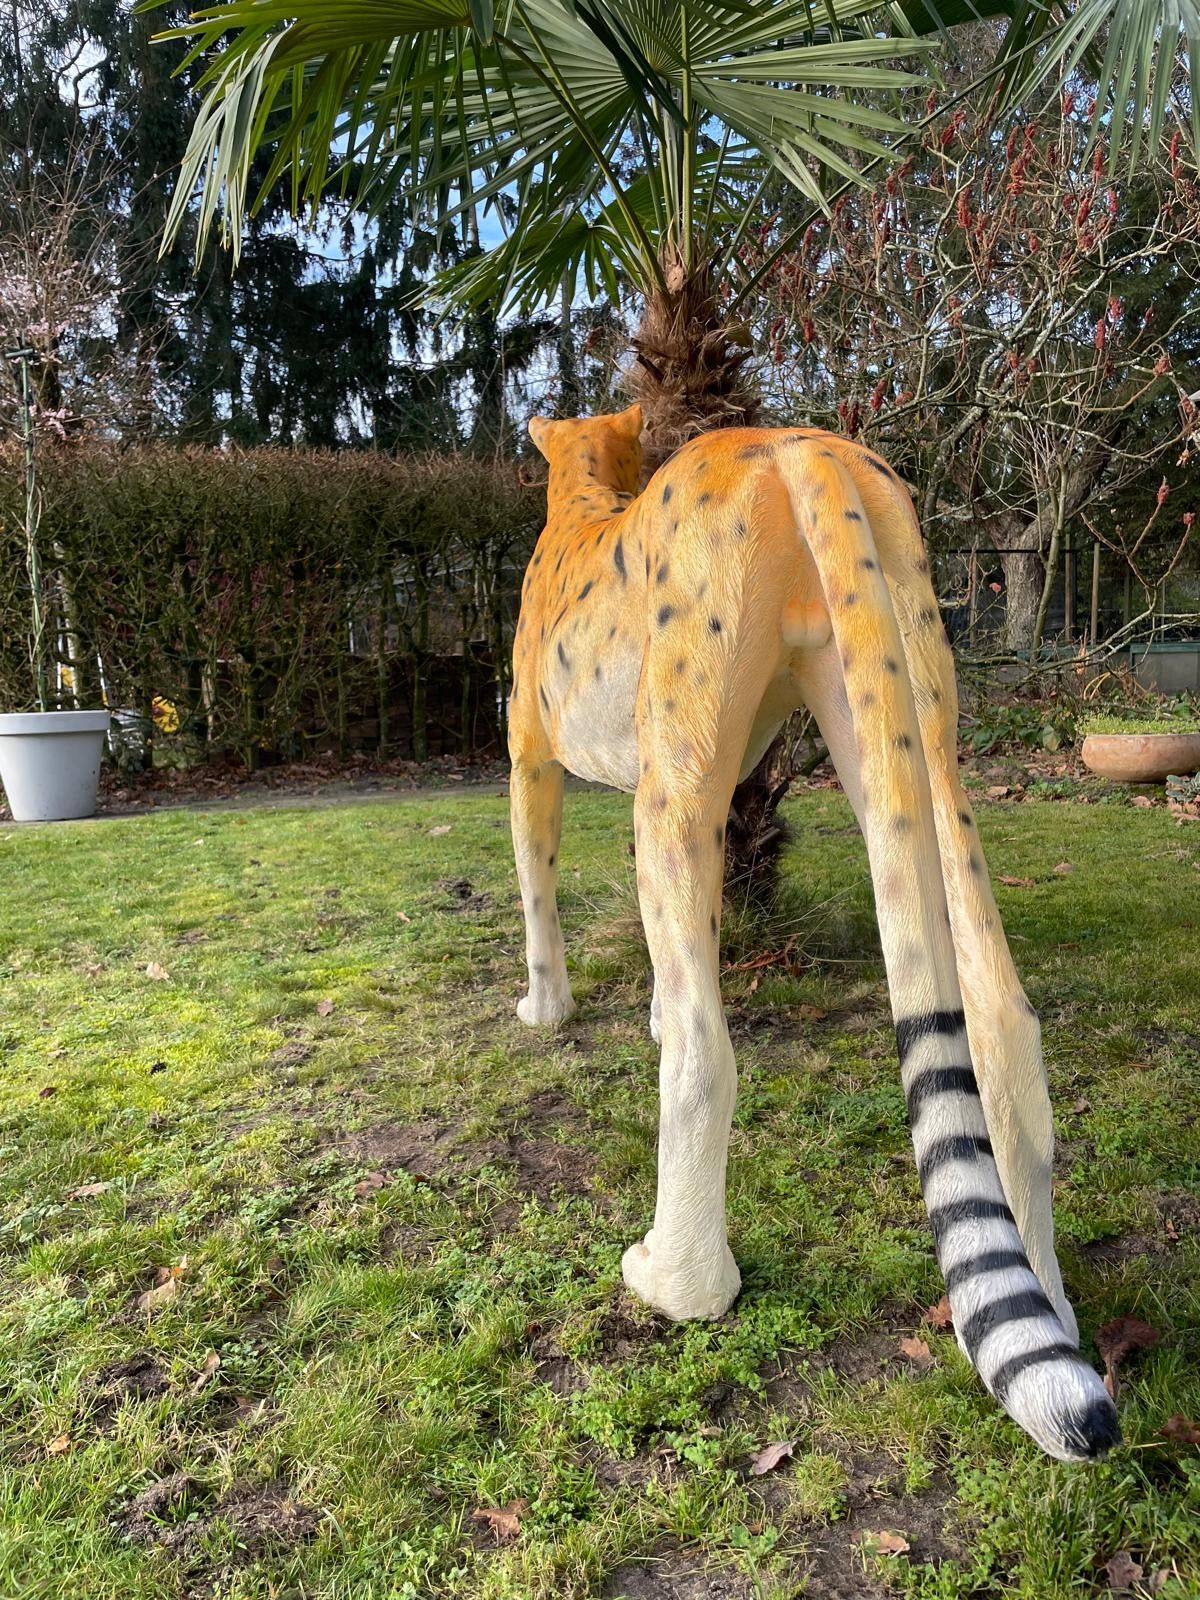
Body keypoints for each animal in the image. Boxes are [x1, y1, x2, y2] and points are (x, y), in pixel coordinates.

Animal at [505, 402, 1119, 1463]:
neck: (583, 492)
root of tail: (802, 448)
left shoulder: (531, 762)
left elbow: (543, 898)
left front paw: (546, 1008)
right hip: (903, 720)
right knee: (1002, 1018)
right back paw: (1043, 1292)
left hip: (677, 778)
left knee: (708, 1055)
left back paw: (674, 1278)